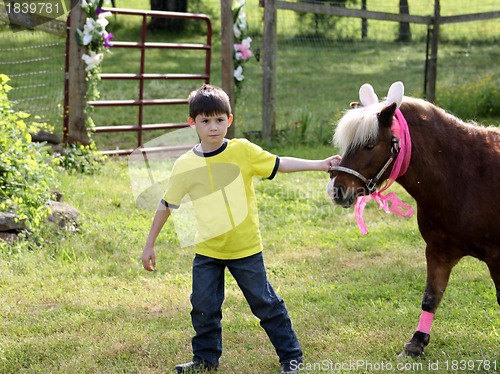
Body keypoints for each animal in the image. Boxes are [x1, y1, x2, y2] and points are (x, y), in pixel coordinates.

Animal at [328, 83, 500, 358]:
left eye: (369, 145)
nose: (338, 190)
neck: (465, 177)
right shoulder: (439, 252)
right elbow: (430, 297)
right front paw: (417, 343)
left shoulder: (496, 258)